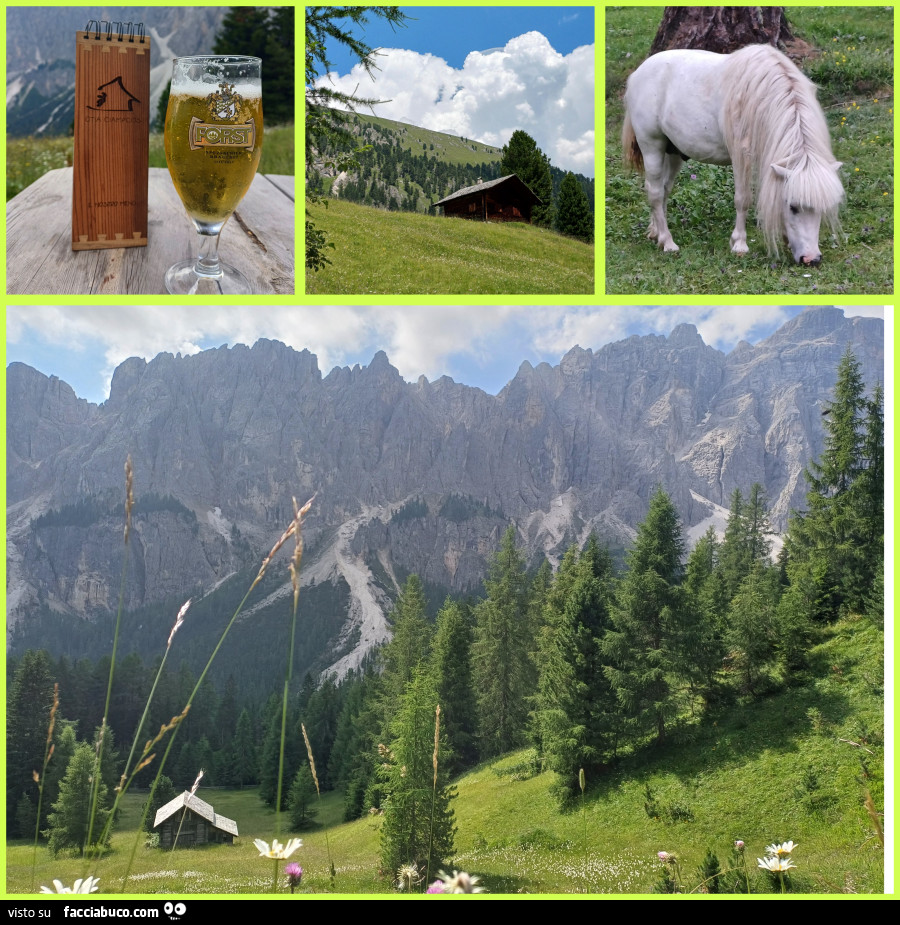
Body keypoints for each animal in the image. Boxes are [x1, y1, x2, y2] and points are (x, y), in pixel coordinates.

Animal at [624, 45, 848, 266]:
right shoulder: (741, 156)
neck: (762, 96)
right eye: (793, 207)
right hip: (652, 147)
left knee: (662, 189)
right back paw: (667, 241)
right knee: (655, 192)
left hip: (673, 153)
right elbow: (743, 199)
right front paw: (739, 244)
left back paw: (655, 232)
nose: (811, 259)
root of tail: (637, 74)